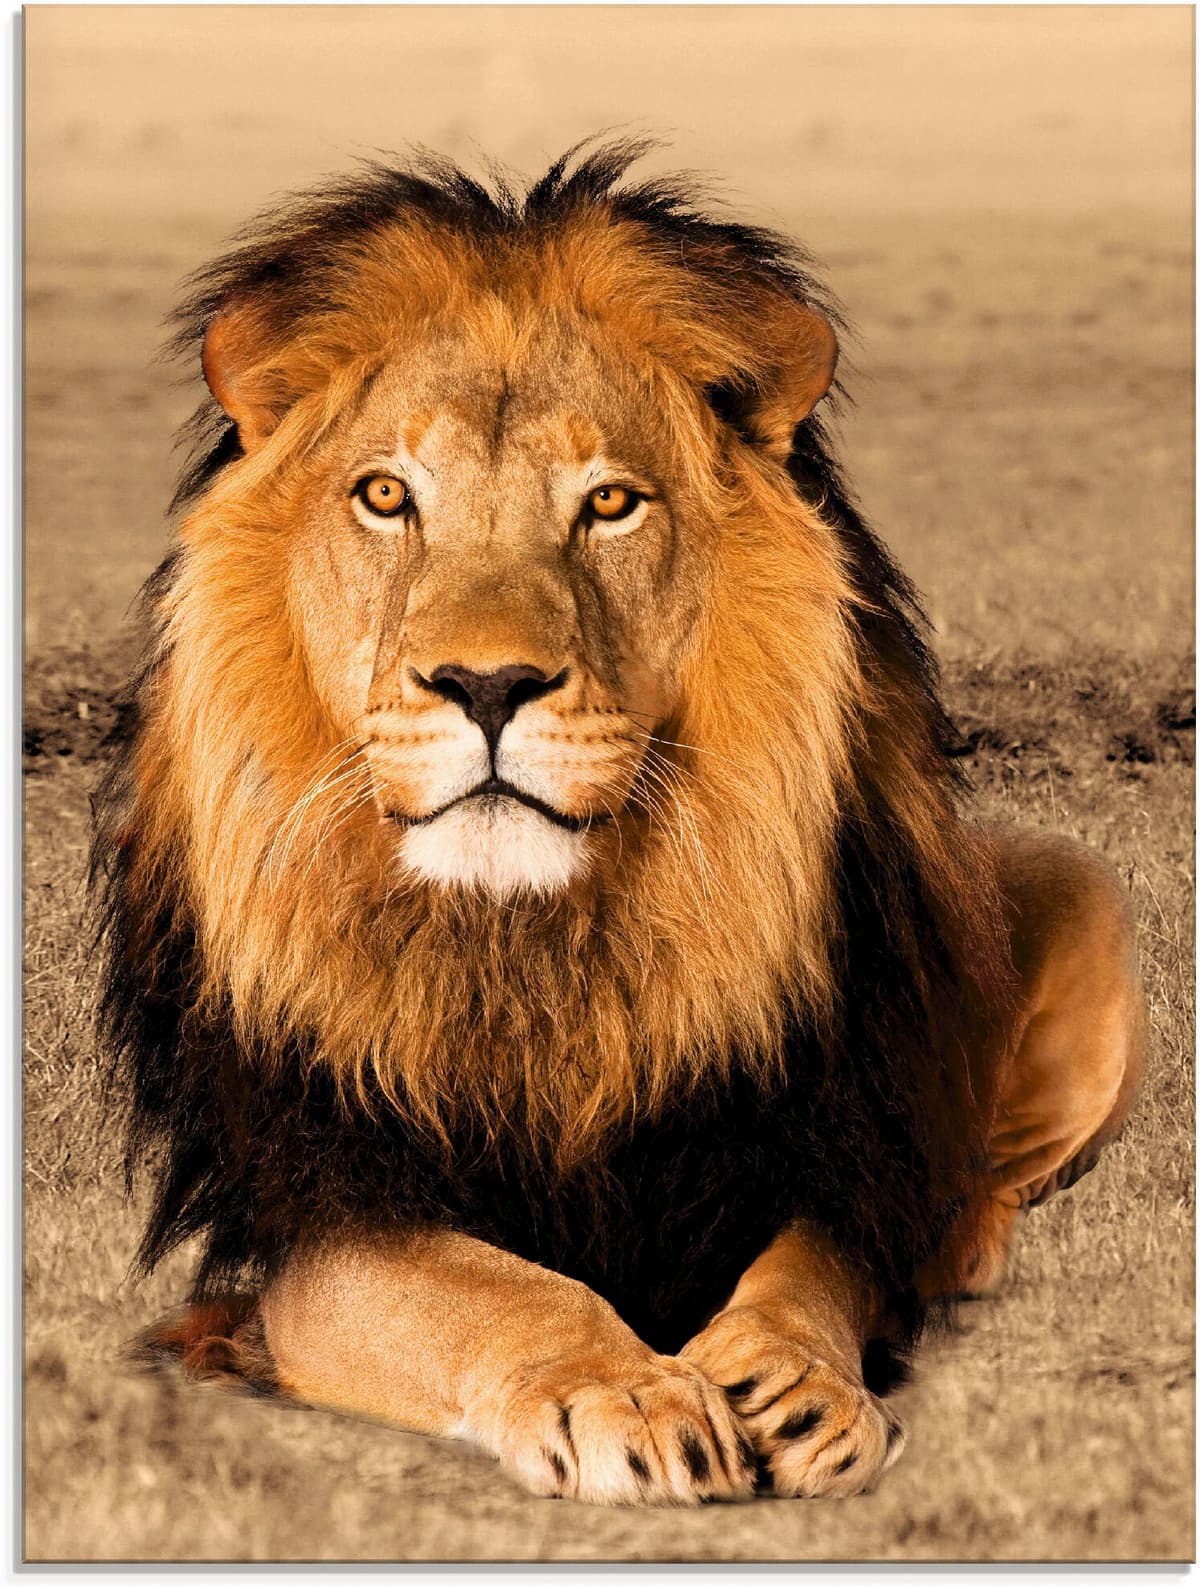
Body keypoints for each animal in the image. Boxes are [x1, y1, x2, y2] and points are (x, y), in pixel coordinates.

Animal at [92, 140, 1145, 1507]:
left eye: (609, 505)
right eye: (385, 495)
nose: (488, 685)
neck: (534, 945)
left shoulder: (817, 1138)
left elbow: (813, 1266)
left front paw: (792, 1380)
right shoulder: (323, 1205)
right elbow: (491, 1289)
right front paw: (628, 1391)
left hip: (1085, 902)